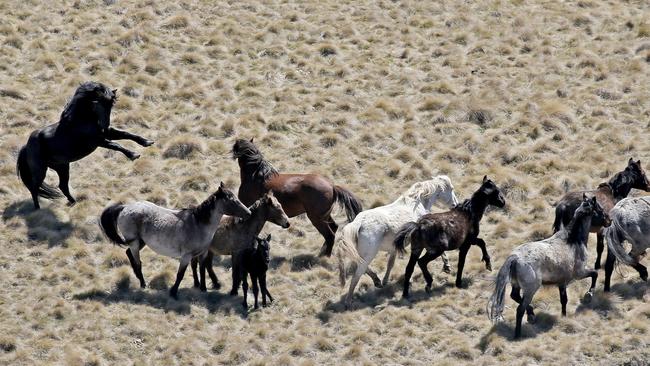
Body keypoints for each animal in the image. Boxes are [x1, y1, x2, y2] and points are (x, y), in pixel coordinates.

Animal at [16, 82, 153, 209]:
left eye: (111, 104)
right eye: (97, 103)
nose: (104, 125)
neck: (80, 120)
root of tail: (26, 147)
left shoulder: (107, 134)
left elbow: (127, 134)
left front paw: (147, 142)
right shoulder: (98, 141)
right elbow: (117, 145)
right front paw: (133, 155)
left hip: (62, 167)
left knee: (62, 186)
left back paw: (73, 201)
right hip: (41, 171)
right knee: (34, 187)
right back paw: (38, 208)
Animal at [98, 184, 251, 298]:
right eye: (231, 200)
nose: (248, 213)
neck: (198, 224)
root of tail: (124, 207)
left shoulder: (202, 254)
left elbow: (201, 269)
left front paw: (203, 288)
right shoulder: (186, 256)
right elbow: (180, 274)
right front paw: (173, 292)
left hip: (140, 242)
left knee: (129, 253)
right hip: (135, 243)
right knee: (138, 262)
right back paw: (143, 284)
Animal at [232, 139, 364, 256]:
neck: (256, 177)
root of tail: (332, 186)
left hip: (316, 218)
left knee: (330, 235)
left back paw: (324, 256)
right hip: (325, 216)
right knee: (334, 228)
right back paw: (322, 252)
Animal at [336, 176, 458, 304]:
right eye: (451, 188)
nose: (455, 204)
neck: (417, 204)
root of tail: (358, 222)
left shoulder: (394, 248)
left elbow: (390, 263)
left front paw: (385, 280)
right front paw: (447, 266)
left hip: (360, 253)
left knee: (362, 267)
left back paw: (377, 281)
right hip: (369, 254)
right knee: (357, 274)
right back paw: (349, 301)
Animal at [488, 196, 612, 338]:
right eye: (600, 209)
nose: (609, 221)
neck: (573, 240)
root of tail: (515, 258)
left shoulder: (562, 282)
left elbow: (564, 300)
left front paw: (564, 316)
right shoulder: (579, 273)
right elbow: (595, 273)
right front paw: (589, 294)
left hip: (517, 285)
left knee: (514, 296)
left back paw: (531, 315)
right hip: (531, 289)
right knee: (520, 309)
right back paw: (518, 334)